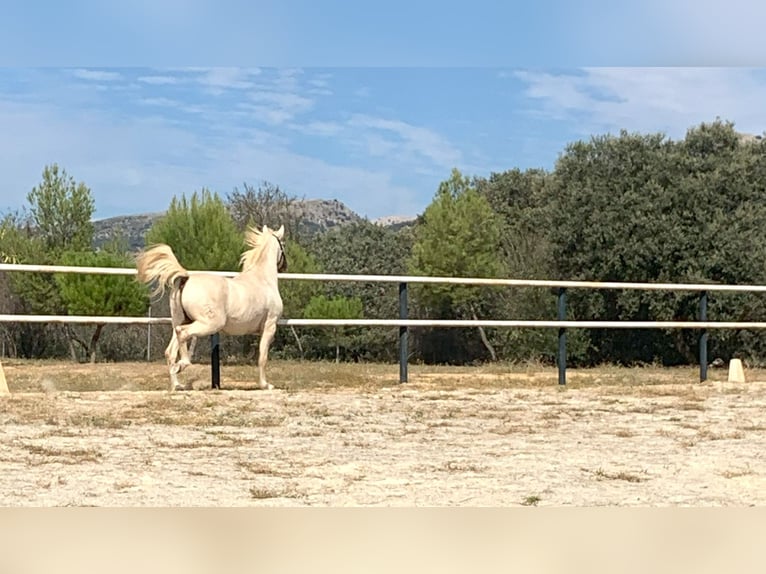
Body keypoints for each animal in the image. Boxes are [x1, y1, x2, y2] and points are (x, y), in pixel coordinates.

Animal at [136, 225, 288, 392]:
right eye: (283, 244)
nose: (284, 266)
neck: (263, 280)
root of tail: (186, 278)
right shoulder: (270, 326)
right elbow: (262, 357)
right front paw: (266, 385)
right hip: (209, 324)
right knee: (183, 334)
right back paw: (183, 365)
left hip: (179, 321)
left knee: (170, 351)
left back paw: (177, 385)